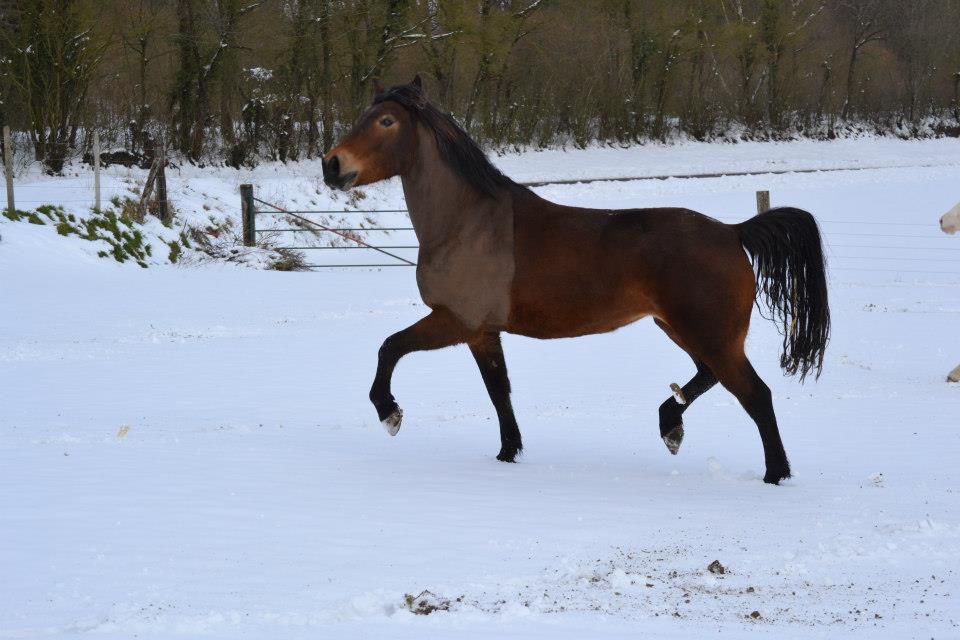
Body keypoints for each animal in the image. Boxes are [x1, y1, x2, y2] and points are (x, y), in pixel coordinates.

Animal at [322, 76, 830, 485]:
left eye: (386, 121)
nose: (331, 164)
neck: (467, 223)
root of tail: (732, 231)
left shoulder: (456, 321)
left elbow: (389, 347)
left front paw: (389, 412)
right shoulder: (483, 333)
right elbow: (499, 392)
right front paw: (508, 454)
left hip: (709, 334)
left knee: (755, 394)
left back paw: (775, 474)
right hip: (684, 329)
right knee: (708, 377)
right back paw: (671, 424)